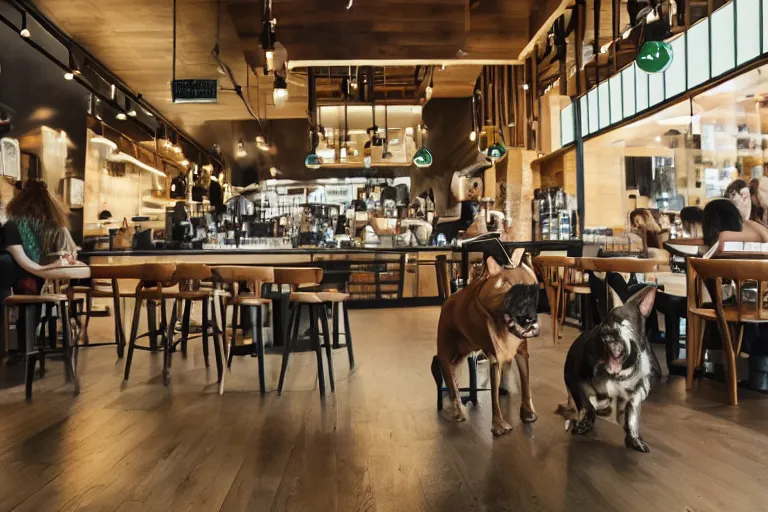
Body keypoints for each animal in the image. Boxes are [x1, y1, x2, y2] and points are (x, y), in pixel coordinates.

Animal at [432, 256, 540, 436]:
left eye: (534, 290)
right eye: (513, 289)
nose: (530, 318)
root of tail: (448, 300)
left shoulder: (522, 354)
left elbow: (525, 383)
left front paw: (528, 413)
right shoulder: (495, 359)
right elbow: (494, 396)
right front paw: (499, 425)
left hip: (463, 351)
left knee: (448, 368)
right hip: (448, 350)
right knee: (445, 367)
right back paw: (458, 410)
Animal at [560, 286, 660, 454]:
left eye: (626, 324)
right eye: (604, 322)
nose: (606, 332)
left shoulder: (634, 395)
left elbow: (632, 419)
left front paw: (634, 440)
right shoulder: (575, 381)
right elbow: (586, 404)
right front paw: (584, 424)